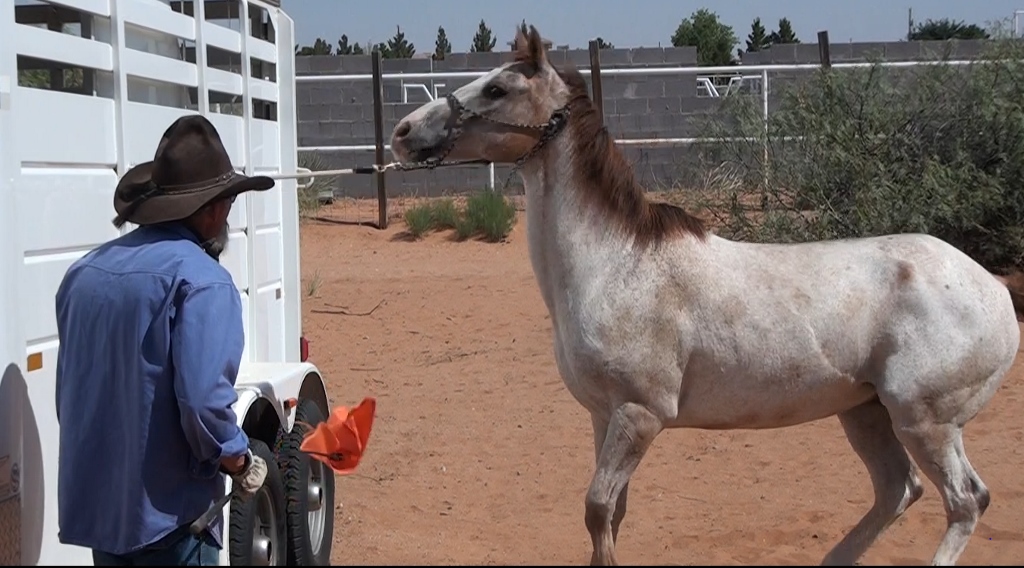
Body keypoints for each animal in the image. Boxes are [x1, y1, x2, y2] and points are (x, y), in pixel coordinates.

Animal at [389, 23, 1024, 566]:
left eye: (497, 88)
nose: (403, 133)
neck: (615, 264)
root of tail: (993, 290)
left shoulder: (640, 415)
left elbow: (597, 509)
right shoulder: (603, 417)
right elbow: (611, 515)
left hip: (925, 420)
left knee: (966, 501)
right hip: (865, 413)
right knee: (897, 492)